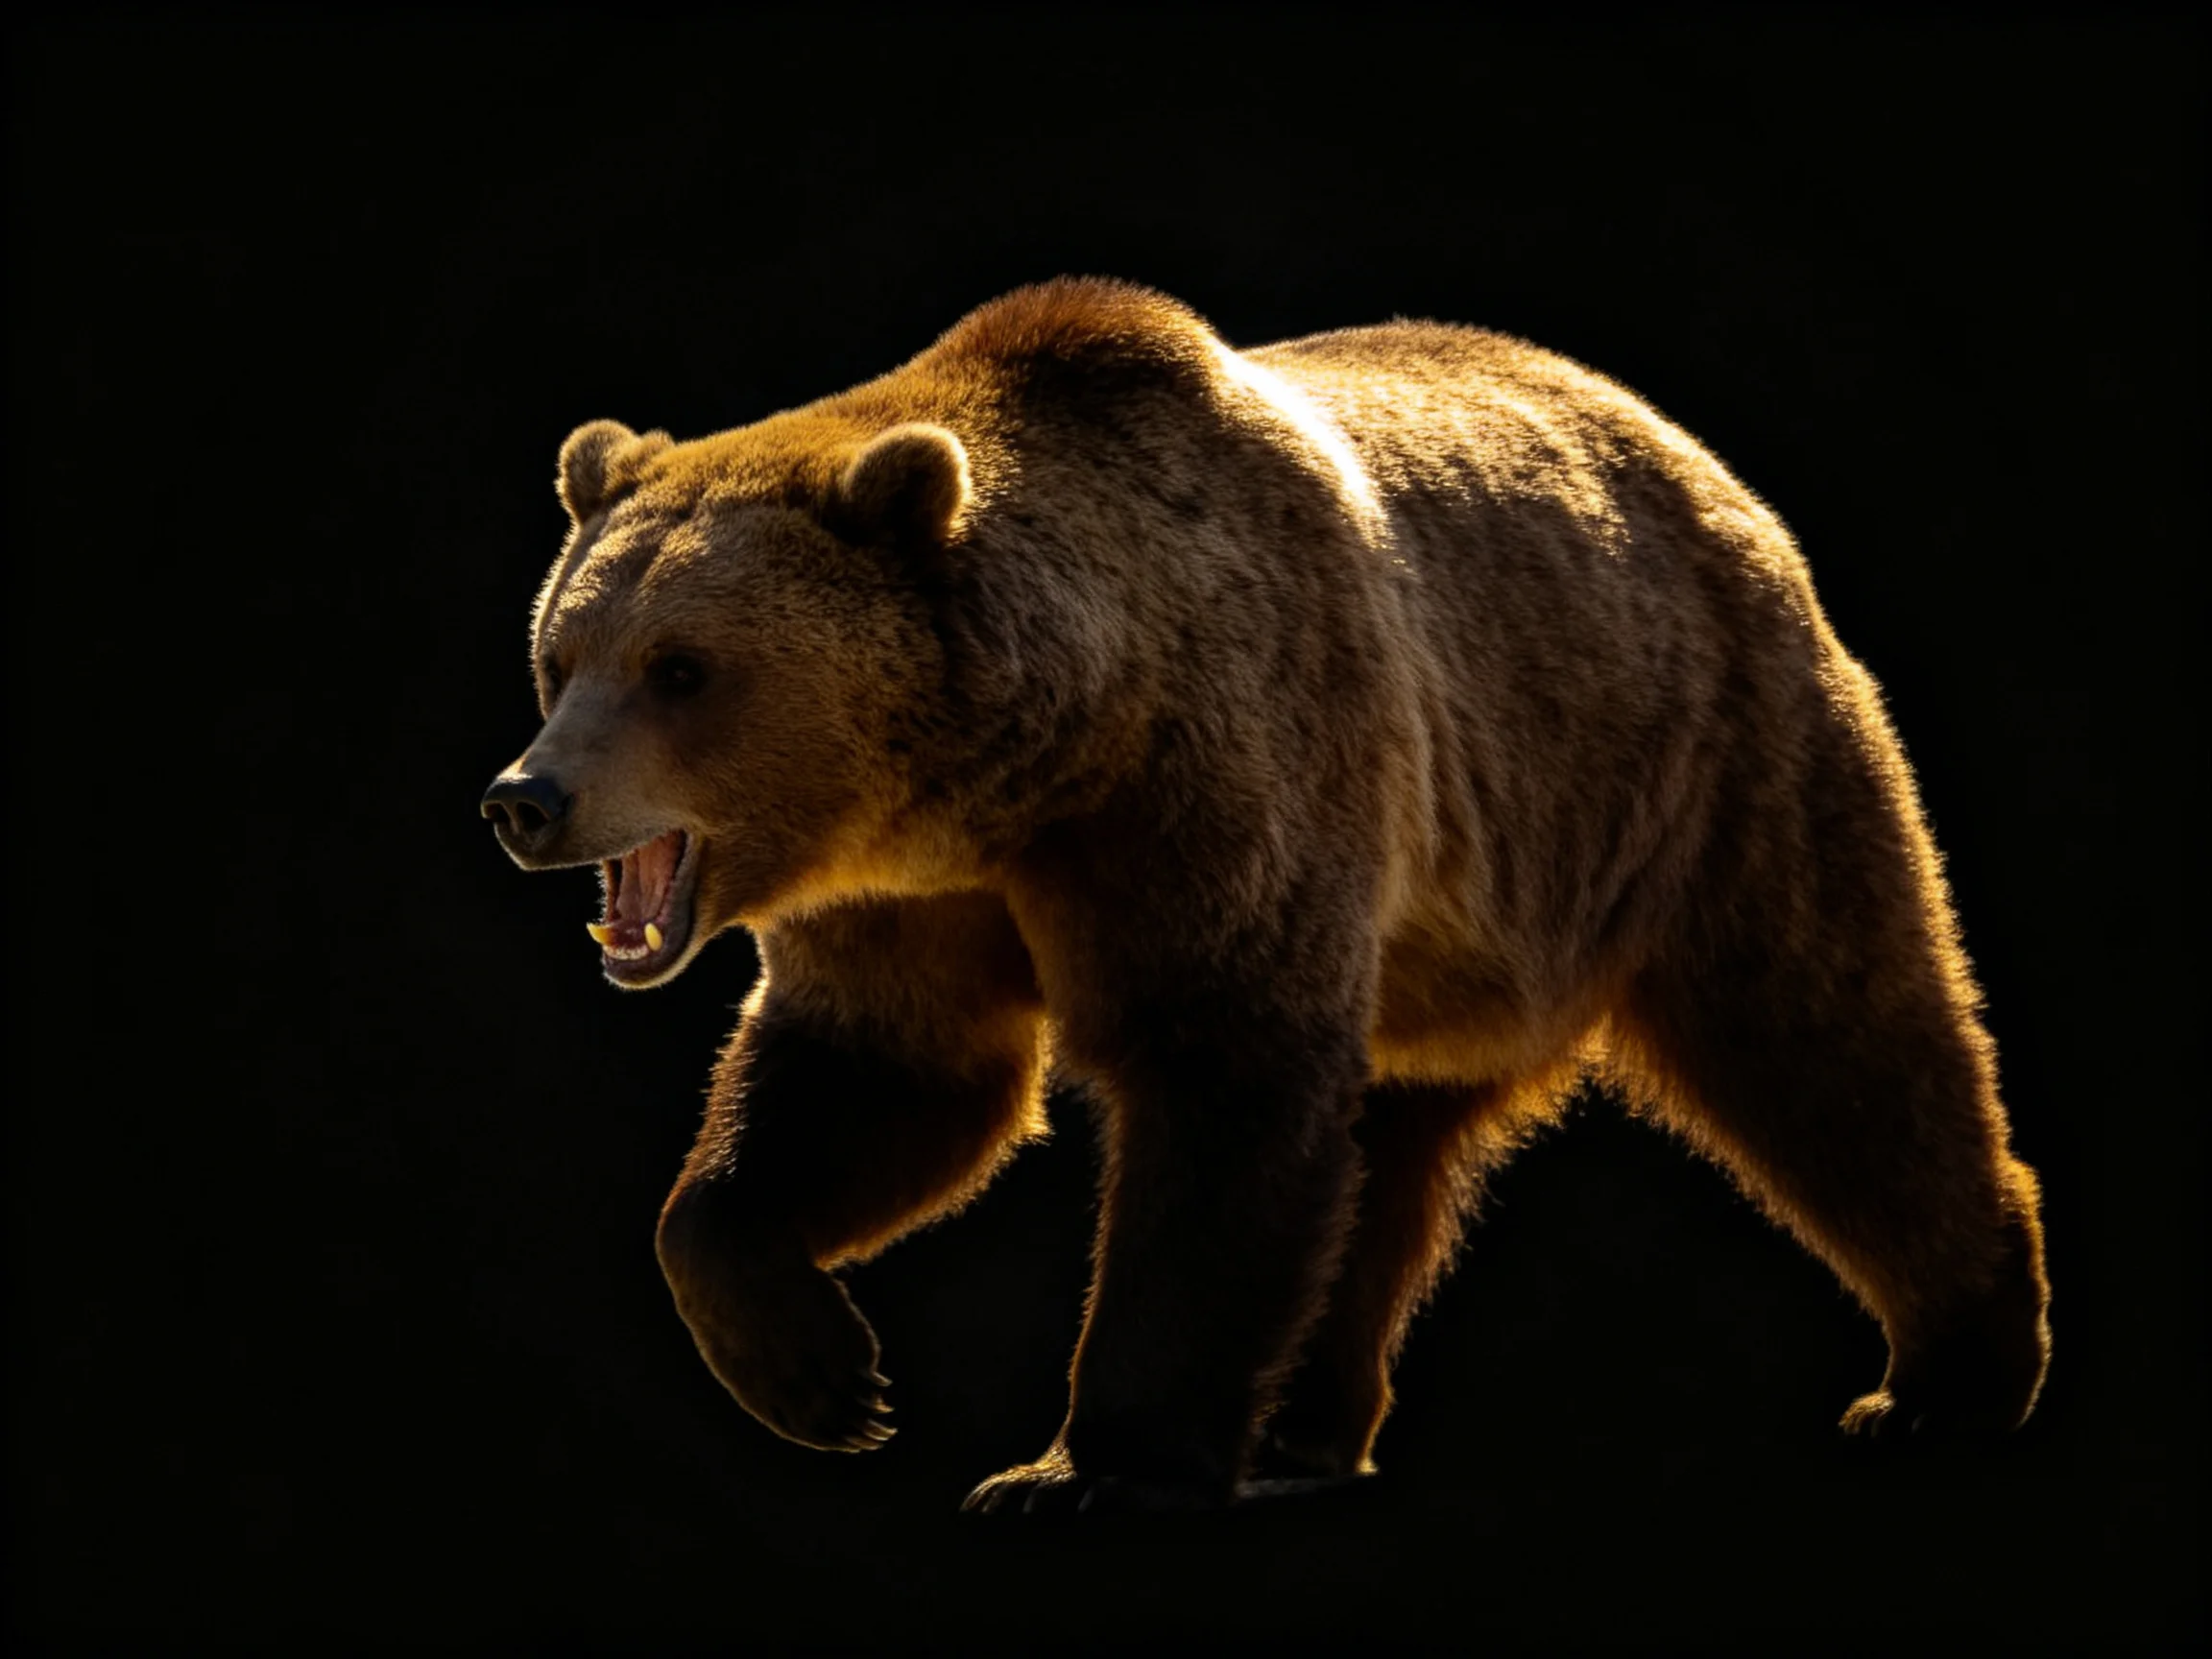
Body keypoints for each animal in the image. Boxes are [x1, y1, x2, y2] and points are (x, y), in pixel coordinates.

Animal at [482, 277, 2052, 1513]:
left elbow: (1217, 1081)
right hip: (1456, 942)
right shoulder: (906, 899)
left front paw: (1083, 1470)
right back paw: (1303, 1429)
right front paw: (825, 1376)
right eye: (562, 652)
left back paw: (1948, 1374)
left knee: (1829, 1035)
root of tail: (1697, 463)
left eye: (682, 668)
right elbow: (878, 1083)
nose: (526, 800)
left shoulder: (1217, 775)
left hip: (1697, 763)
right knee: (1386, 1153)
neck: (1027, 761)